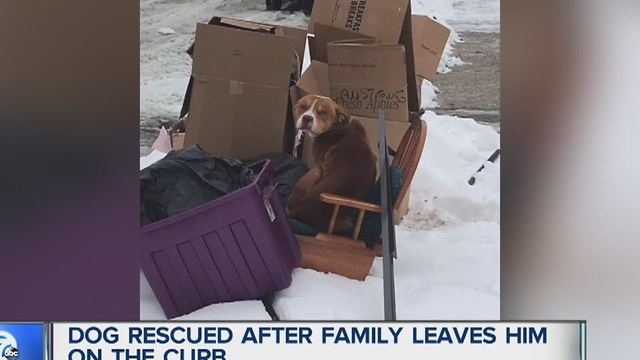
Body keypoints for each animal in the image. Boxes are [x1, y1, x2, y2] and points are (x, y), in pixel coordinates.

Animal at [288, 94, 378, 232]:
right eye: (303, 106)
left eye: (324, 113)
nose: (307, 118)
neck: (337, 126)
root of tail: (300, 210)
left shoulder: (320, 163)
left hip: (315, 171)